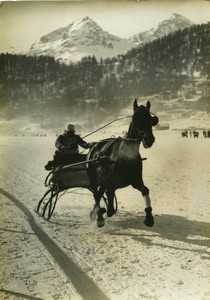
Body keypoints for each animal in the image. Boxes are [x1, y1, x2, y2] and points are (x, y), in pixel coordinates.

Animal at [86, 99, 158, 227]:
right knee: (96, 193)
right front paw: (101, 214)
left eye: (150, 119)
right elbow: (108, 204)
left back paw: (95, 212)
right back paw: (99, 216)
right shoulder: (110, 184)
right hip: (93, 178)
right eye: (135, 118)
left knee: (100, 193)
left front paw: (149, 218)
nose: (149, 139)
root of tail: (93, 145)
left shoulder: (135, 181)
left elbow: (145, 190)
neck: (125, 155)